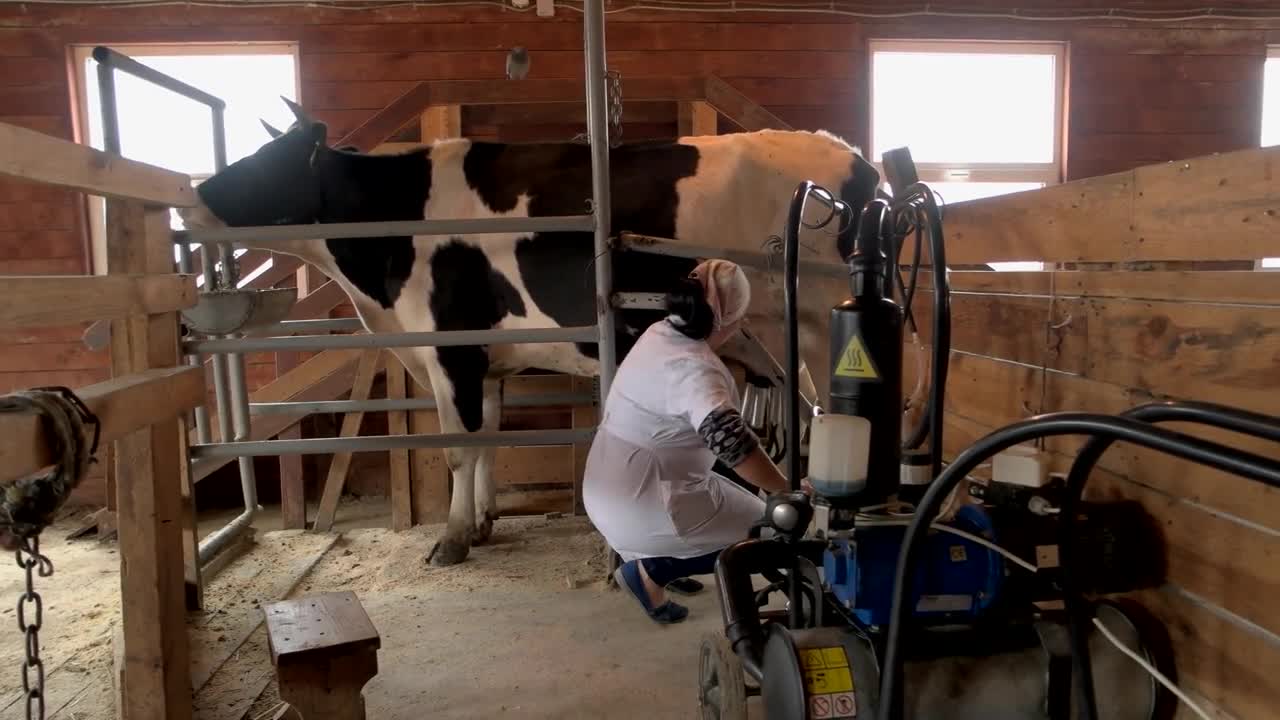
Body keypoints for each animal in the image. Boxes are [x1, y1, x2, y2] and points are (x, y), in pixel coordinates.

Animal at [180, 98, 880, 563]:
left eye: (264, 163)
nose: (190, 199)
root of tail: (851, 157)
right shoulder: (483, 360)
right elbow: (488, 438)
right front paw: (483, 520)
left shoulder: (453, 351)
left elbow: (458, 448)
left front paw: (452, 539)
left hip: (821, 322)